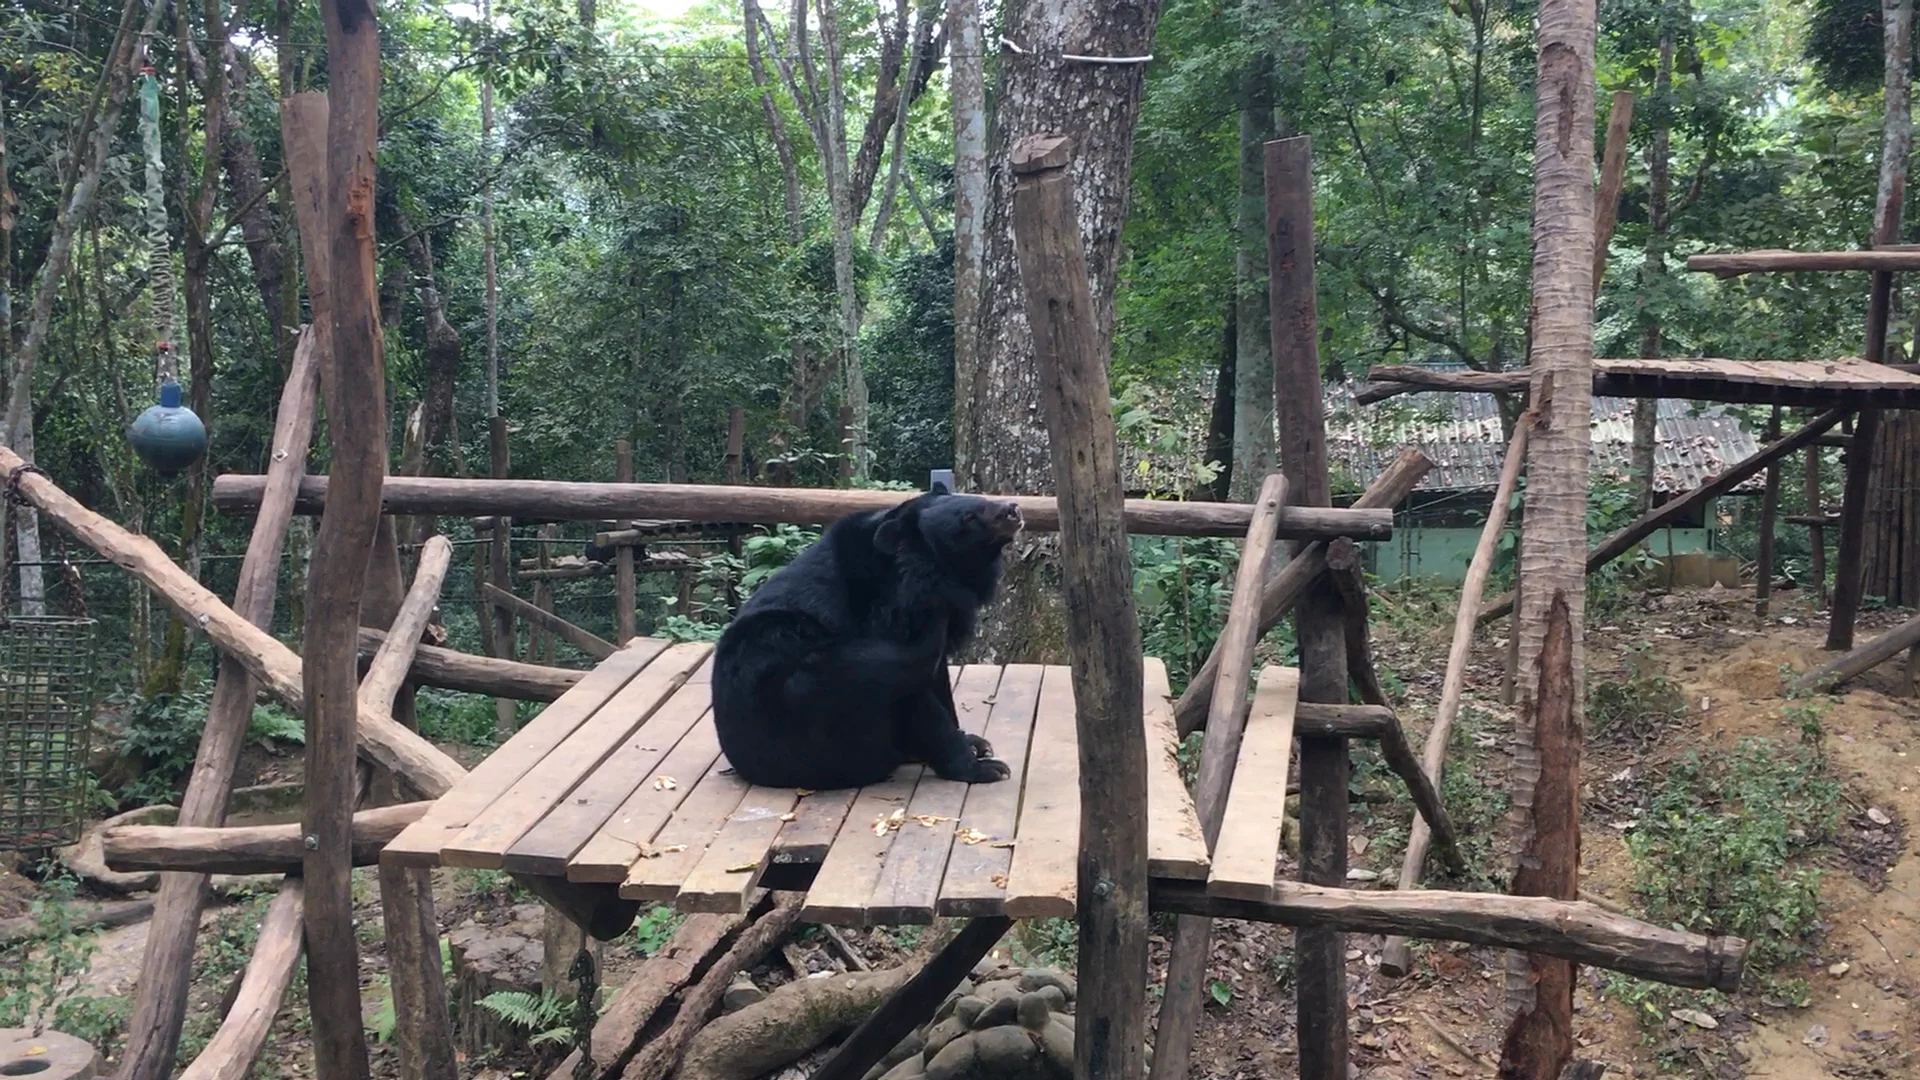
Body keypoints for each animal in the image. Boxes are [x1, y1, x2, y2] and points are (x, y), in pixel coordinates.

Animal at [710, 490, 1024, 790]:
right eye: (968, 518)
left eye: (982, 499)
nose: (1012, 510)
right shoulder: (891, 615)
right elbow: (916, 695)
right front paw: (983, 768)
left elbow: (939, 679)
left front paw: (973, 742)